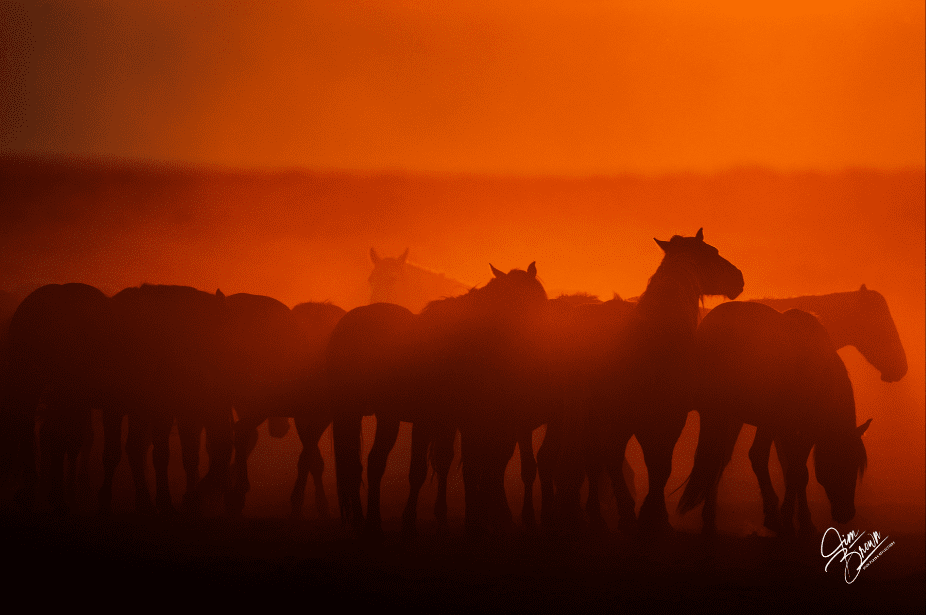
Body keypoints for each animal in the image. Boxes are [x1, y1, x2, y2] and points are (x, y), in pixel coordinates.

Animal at [97, 286, 234, 516]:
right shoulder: (160, 411)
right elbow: (160, 455)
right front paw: (167, 502)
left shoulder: (188, 413)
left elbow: (190, 456)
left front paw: (189, 501)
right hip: (124, 409)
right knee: (121, 450)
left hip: (141, 413)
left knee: (134, 448)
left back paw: (144, 502)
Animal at [226, 296, 348, 516]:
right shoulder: (315, 416)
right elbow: (308, 459)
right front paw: (299, 500)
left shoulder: (311, 416)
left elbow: (312, 460)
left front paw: (319, 502)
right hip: (257, 406)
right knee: (242, 433)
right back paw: (238, 492)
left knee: (242, 434)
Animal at [556, 229, 744, 536]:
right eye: (713, 252)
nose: (738, 278)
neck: (661, 330)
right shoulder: (665, 417)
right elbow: (660, 464)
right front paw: (652, 516)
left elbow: (657, 463)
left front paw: (649, 515)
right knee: (605, 457)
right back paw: (618, 515)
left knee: (594, 459)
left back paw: (597, 516)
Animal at [680, 304, 872, 540]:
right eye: (845, 463)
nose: (847, 514)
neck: (822, 374)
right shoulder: (801, 428)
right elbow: (797, 471)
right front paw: (790, 519)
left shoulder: (789, 430)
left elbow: (794, 470)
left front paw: (804, 522)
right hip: (755, 418)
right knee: (754, 456)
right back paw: (772, 516)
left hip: (726, 416)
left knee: (717, 459)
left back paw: (709, 521)